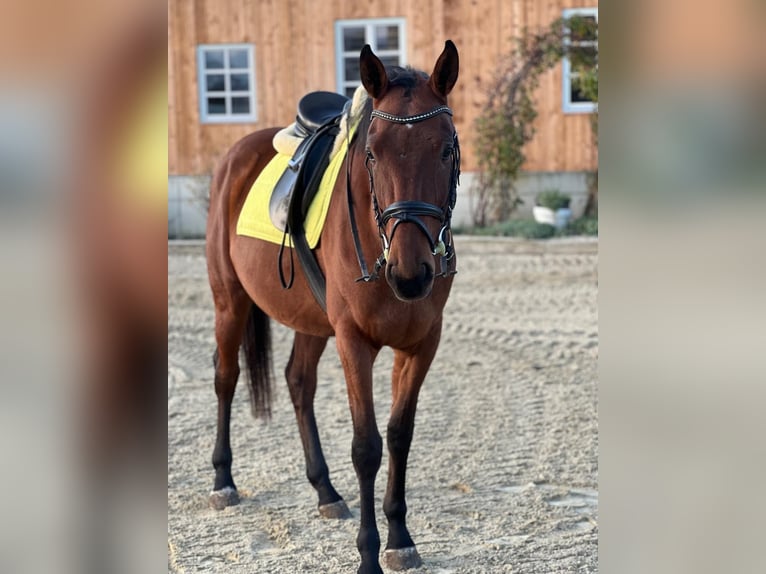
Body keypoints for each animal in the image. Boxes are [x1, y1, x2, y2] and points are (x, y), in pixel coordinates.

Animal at [206, 40, 462, 574]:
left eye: (446, 148)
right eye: (372, 153)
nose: (411, 274)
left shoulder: (422, 343)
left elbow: (400, 435)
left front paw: (400, 538)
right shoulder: (353, 341)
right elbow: (366, 446)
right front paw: (368, 554)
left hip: (310, 320)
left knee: (297, 381)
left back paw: (325, 491)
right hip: (229, 301)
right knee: (226, 377)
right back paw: (222, 481)